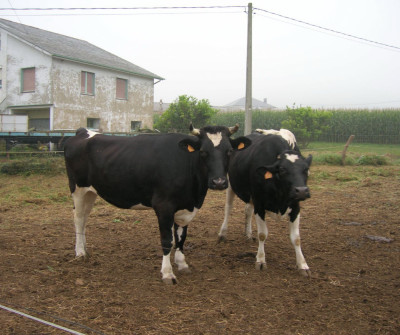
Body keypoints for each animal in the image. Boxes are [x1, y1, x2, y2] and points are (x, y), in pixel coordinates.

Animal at [63, 124, 250, 284]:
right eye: (203, 151)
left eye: (230, 151)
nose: (219, 182)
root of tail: (83, 132)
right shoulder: (164, 206)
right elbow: (167, 240)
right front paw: (167, 273)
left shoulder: (186, 207)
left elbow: (181, 238)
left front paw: (182, 264)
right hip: (77, 188)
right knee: (78, 218)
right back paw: (80, 252)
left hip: (91, 192)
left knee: (84, 218)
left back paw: (85, 249)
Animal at [219, 130, 312, 276]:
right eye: (282, 170)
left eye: (306, 169)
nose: (302, 191)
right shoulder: (260, 205)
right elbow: (262, 234)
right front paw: (261, 260)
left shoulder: (296, 208)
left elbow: (296, 238)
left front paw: (302, 265)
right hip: (230, 185)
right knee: (228, 209)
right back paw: (222, 234)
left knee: (247, 211)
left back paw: (248, 234)